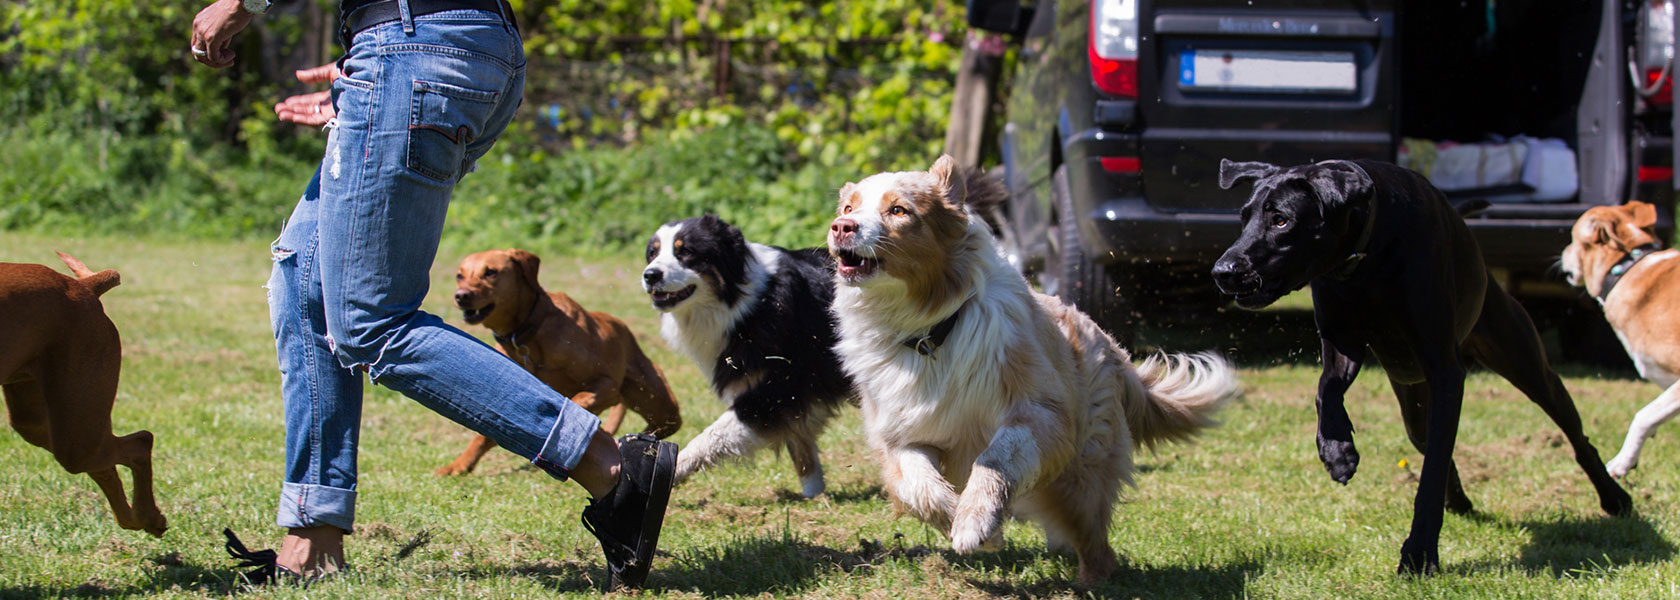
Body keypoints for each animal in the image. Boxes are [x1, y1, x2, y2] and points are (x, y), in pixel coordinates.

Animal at [2, 250, 167, 534]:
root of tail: (83, 287)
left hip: (76, 435)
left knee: (141, 442)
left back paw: (148, 517)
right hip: (42, 422)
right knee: (108, 464)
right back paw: (138, 518)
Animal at [443, 245, 685, 473]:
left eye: (491, 272)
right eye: (459, 276)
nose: (461, 295)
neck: (527, 331)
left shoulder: (606, 384)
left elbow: (578, 401)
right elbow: (486, 432)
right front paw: (460, 464)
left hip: (658, 400)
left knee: (668, 423)